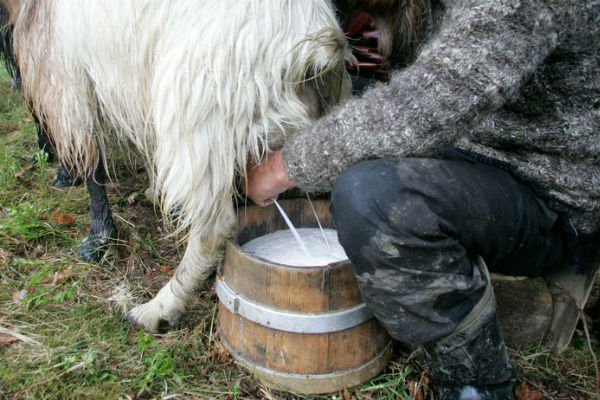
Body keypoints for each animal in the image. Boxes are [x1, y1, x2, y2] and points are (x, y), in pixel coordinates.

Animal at [7, 0, 350, 332]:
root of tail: (313, 45)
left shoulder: (69, 75)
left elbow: (92, 163)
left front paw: (98, 236)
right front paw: (150, 191)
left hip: (200, 116)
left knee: (214, 227)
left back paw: (159, 308)